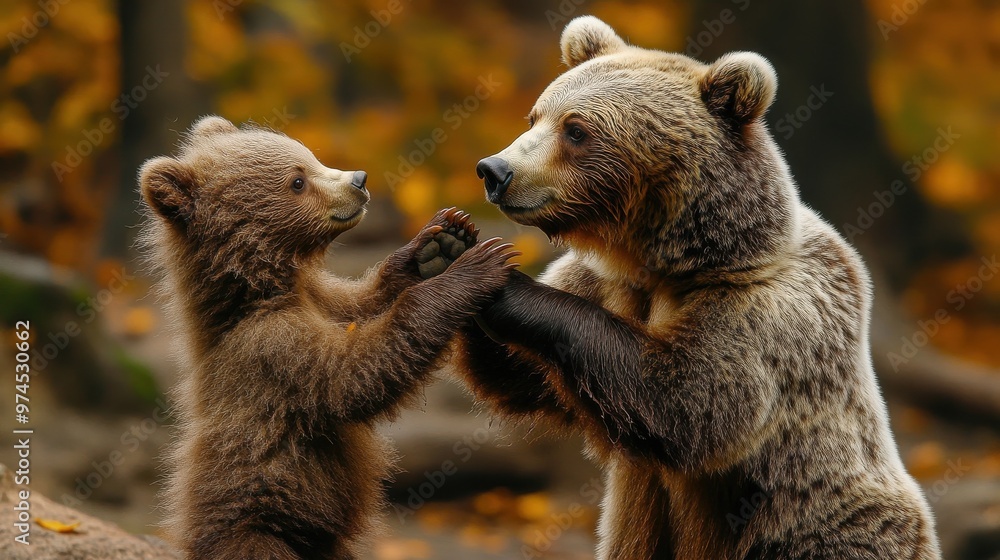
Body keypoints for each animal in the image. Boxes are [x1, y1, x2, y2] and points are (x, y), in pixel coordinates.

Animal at [138, 115, 517, 560]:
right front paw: (474, 269)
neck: (259, 293)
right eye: (297, 181)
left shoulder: (321, 300)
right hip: (256, 525)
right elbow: (353, 376)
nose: (358, 179)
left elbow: (360, 304)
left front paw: (438, 243)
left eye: (310, 157)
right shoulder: (271, 350)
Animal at [446, 16, 941, 560]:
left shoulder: (767, 310)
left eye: (576, 130)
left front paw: (507, 286)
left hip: (820, 522)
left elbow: (690, 399)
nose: (495, 170)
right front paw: (451, 246)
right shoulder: (604, 281)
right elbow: (522, 377)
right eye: (535, 116)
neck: (668, 264)